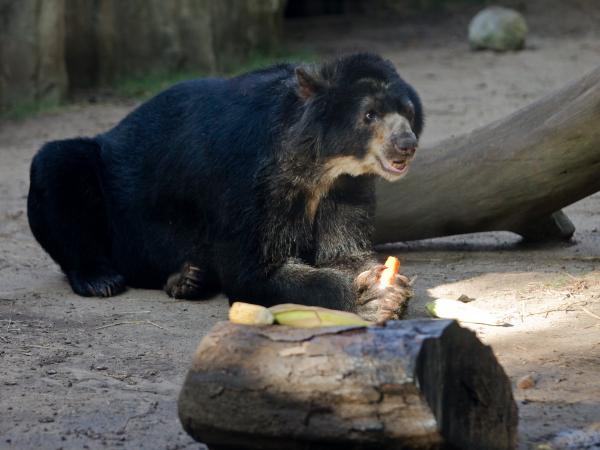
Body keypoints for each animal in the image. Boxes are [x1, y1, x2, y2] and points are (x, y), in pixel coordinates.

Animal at [28, 52, 424, 322]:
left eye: (408, 113)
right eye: (370, 114)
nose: (406, 145)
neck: (320, 166)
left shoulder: (346, 187)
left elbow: (343, 250)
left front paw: (388, 286)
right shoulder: (249, 181)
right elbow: (253, 269)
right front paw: (370, 297)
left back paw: (187, 279)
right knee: (58, 164)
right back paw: (101, 279)